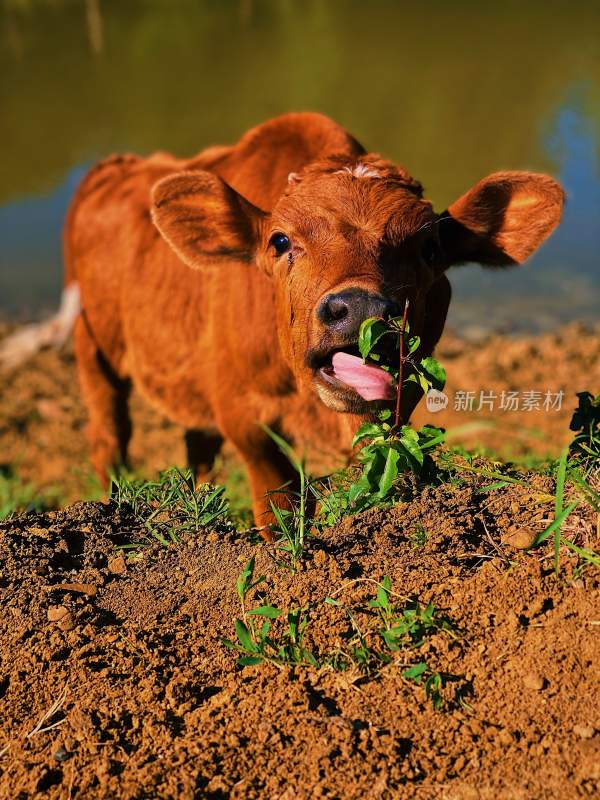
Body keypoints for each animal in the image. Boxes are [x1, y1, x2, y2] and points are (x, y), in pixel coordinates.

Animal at [64, 112, 564, 524]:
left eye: (430, 248)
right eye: (281, 241)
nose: (361, 310)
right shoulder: (244, 417)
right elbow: (278, 504)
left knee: (196, 443)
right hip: (93, 344)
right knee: (109, 435)